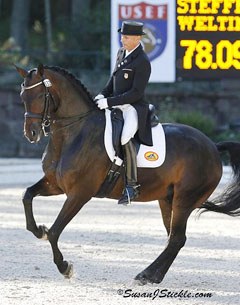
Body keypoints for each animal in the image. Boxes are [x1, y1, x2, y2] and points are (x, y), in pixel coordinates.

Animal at [15, 64, 240, 284]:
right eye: (22, 97)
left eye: (39, 96)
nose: (31, 134)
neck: (74, 133)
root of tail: (213, 146)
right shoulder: (55, 184)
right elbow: (27, 195)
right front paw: (38, 230)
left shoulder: (79, 193)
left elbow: (54, 232)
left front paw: (65, 267)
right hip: (168, 199)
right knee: (174, 238)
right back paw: (151, 276)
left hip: (184, 200)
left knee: (176, 238)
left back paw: (146, 274)